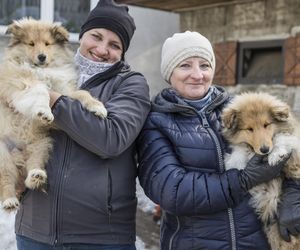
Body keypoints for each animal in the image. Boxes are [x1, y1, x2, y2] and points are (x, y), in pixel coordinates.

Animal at [0, 18, 107, 212]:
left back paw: (36, 175)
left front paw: (98, 107)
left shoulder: (64, 90)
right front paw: (44, 111)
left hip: (42, 144)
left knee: (32, 166)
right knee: (6, 177)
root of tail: (19, 153)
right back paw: (9, 200)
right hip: (2, 154)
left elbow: (82, 94)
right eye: (31, 44)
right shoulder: (22, 82)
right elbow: (41, 90)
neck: (44, 69)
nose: (42, 56)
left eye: (48, 44)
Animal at [220, 92, 300, 250]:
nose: (264, 149)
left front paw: (276, 154)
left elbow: (282, 137)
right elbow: (240, 152)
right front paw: (234, 163)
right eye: (249, 129)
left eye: (266, 124)